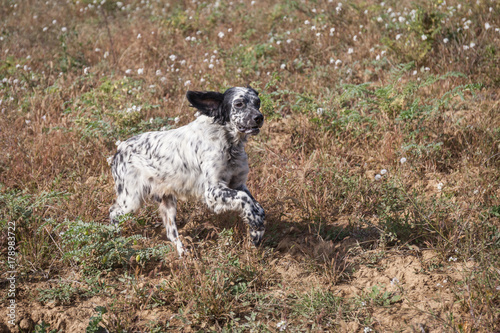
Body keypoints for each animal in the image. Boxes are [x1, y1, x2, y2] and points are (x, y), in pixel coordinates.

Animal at [109, 85, 266, 254]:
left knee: (171, 233)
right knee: (113, 212)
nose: (259, 117)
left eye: (257, 102)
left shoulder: (238, 183)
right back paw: (117, 240)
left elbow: (257, 206)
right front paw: (255, 222)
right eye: (238, 104)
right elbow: (244, 198)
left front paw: (256, 231)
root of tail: (119, 151)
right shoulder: (212, 190)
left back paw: (183, 252)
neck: (228, 141)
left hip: (167, 202)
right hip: (131, 199)